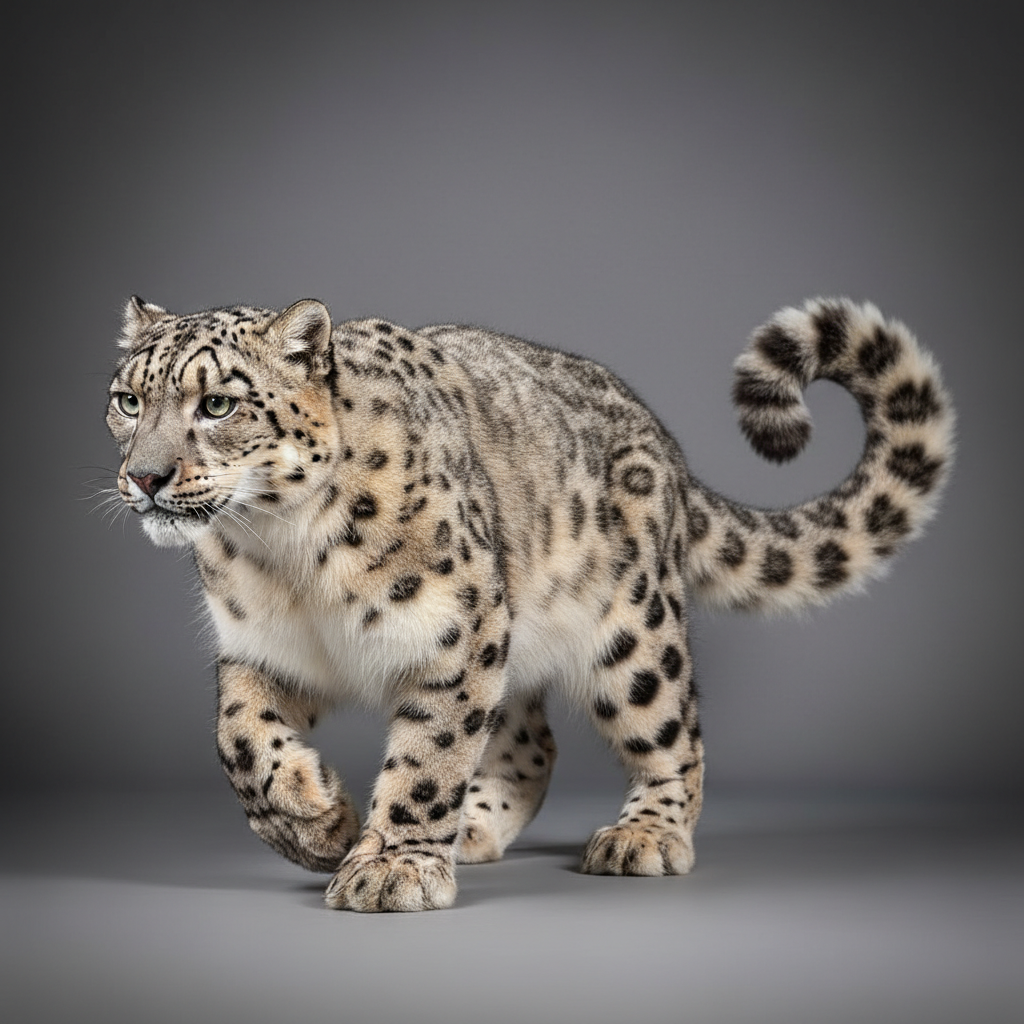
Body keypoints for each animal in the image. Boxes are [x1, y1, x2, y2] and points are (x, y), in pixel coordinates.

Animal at [105, 294, 954, 911]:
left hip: (631, 634)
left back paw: (644, 837)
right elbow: (239, 741)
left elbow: (429, 757)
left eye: (218, 404)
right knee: (529, 742)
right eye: (126, 399)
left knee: (672, 735)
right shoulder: (259, 647)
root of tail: (668, 449)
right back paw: (472, 829)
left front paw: (393, 866)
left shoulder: (452, 631)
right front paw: (317, 822)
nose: (144, 475)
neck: (281, 553)